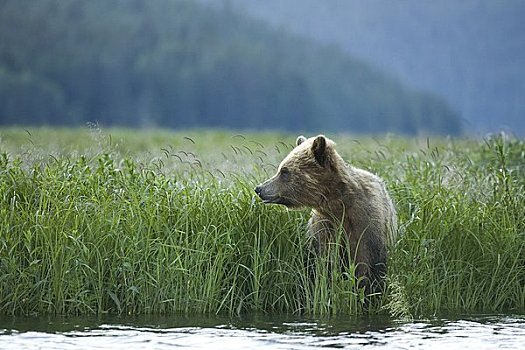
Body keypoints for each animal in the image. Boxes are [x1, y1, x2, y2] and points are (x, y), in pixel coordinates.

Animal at [255, 135, 398, 294]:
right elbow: (323, 262)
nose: (259, 189)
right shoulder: (325, 226)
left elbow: (368, 264)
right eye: (281, 169)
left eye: (284, 171)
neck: (338, 205)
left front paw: (368, 289)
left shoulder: (365, 223)